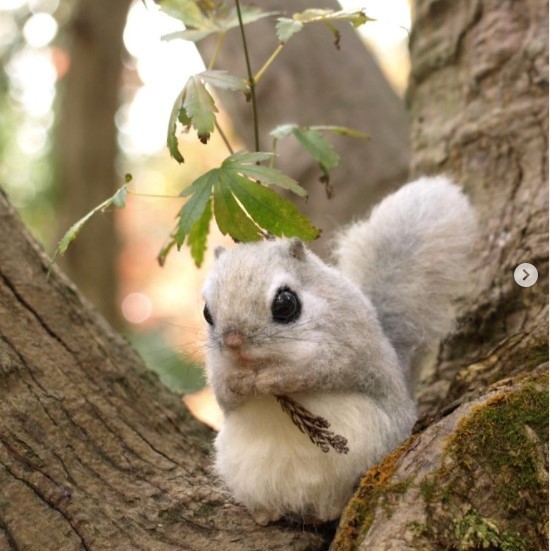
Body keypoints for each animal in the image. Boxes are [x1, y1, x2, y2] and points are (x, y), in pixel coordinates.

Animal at [203, 176, 478, 528]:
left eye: (285, 304)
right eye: (207, 313)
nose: (234, 341)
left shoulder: (348, 347)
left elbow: (319, 370)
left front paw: (270, 380)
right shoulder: (218, 368)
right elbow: (224, 392)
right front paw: (240, 383)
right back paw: (266, 513)